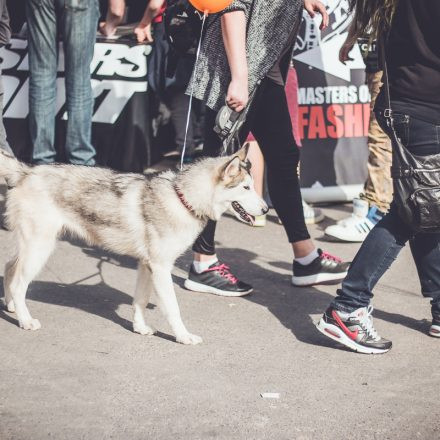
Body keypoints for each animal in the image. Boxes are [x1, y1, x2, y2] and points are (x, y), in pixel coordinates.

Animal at [0, 146, 268, 346]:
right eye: (246, 188)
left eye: (253, 186)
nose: (266, 209)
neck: (182, 199)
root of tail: (27, 171)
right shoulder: (161, 268)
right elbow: (173, 308)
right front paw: (183, 336)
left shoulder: (146, 266)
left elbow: (140, 299)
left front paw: (140, 327)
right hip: (39, 249)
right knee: (18, 284)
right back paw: (25, 320)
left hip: (32, 248)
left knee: (9, 269)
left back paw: (11, 307)